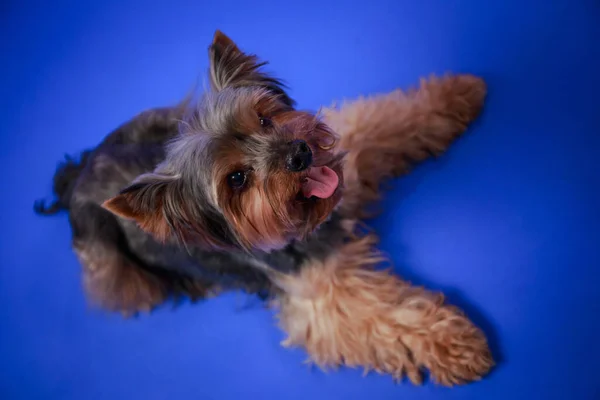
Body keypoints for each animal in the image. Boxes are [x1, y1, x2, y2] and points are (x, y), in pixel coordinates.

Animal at [37, 29, 494, 386]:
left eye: (263, 119)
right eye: (237, 179)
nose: (300, 153)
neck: (308, 222)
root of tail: (79, 174)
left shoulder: (354, 145)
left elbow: (389, 119)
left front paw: (456, 93)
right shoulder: (326, 302)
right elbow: (386, 318)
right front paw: (455, 344)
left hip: (158, 121)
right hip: (106, 258)